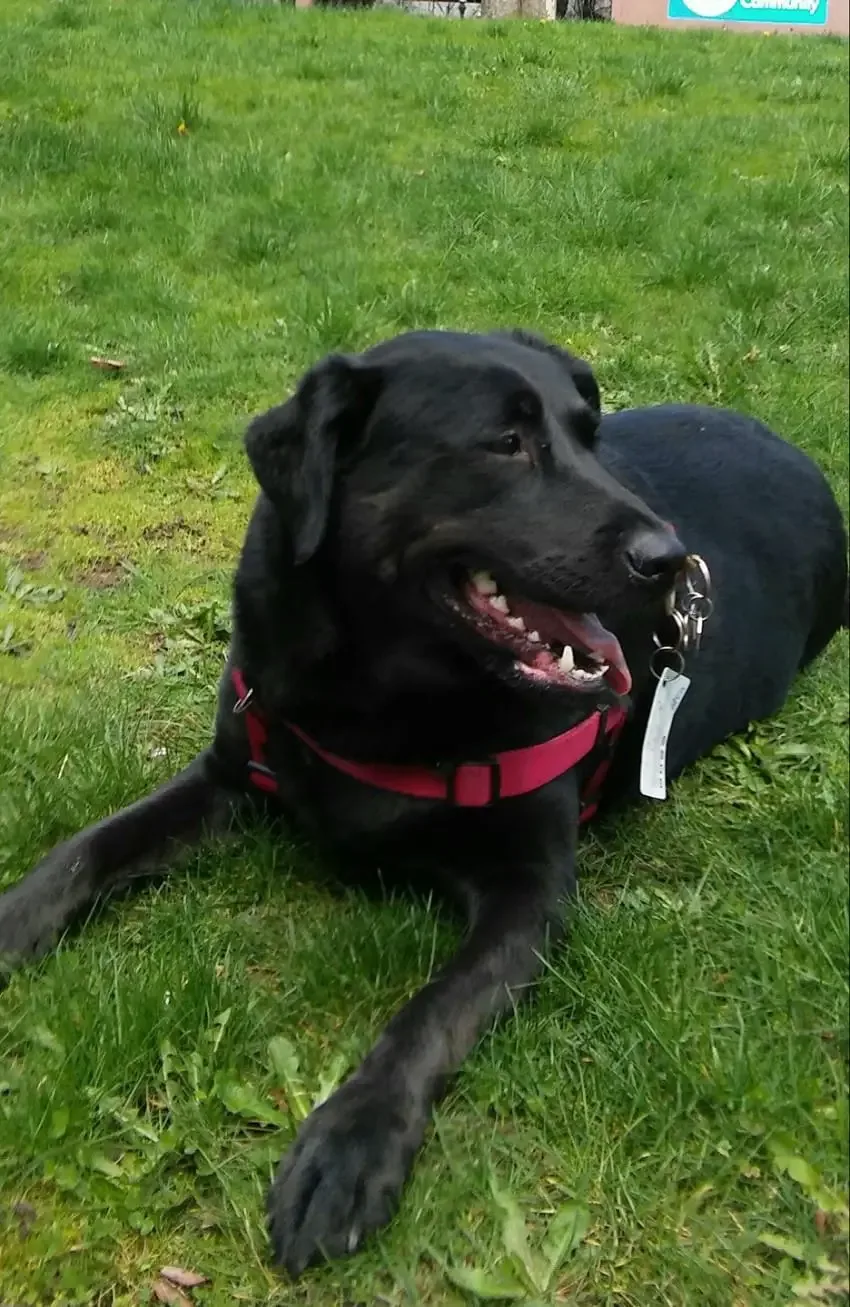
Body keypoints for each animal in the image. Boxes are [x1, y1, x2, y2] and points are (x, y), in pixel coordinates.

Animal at [0, 329, 842, 1275]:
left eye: (589, 435)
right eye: (505, 443)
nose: (669, 559)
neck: (382, 686)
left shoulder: (530, 891)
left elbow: (430, 1012)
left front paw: (350, 1143)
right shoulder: (228, 771)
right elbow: (83, 850)